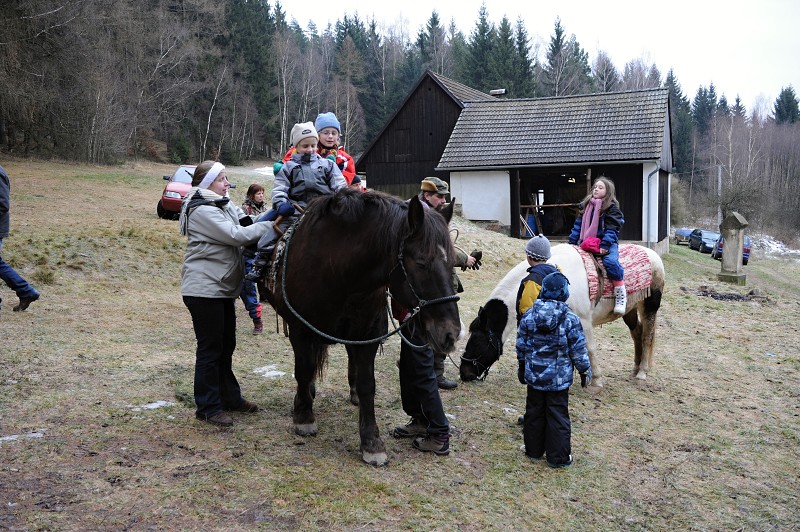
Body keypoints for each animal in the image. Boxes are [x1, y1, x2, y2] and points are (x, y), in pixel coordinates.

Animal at [266, 187, 460, 466]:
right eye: (422, 262)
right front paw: (304, 417)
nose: (451, 334)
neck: (335, 267)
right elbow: (303, 370)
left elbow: (368, 385)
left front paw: (371, 442)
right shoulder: (300, 330)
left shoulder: (367, 334)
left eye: (452, 262)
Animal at [460, 243, 664, 388]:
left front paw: (595, 381)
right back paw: (635, 368)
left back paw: (642, 373)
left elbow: (590, 348)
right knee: (637, 333)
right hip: (630, 310)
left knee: (647, 336)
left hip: (649, 306)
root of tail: (653, 255)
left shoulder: (583, 320)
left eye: (477, 340)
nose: (464, 372)